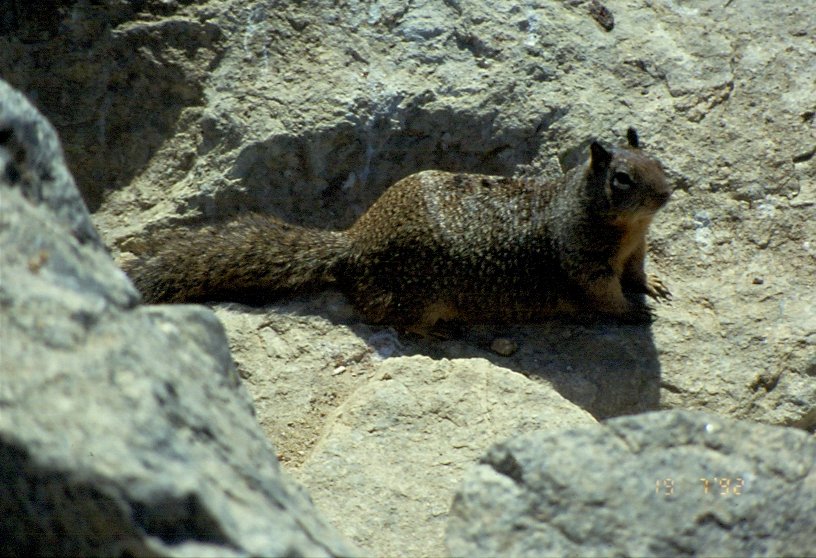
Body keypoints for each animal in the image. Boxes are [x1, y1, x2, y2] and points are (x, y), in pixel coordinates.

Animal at [131, 129, 672, 330]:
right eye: (622, 179)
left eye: (657, 159)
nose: (669, 193)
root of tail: (353, 243)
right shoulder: (585, 262)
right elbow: (605, 297)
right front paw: (634, 313)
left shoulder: (635, 250)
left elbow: (638, 273)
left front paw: (656, 286)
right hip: (419, 295)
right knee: (396, 322)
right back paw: (443, 332)